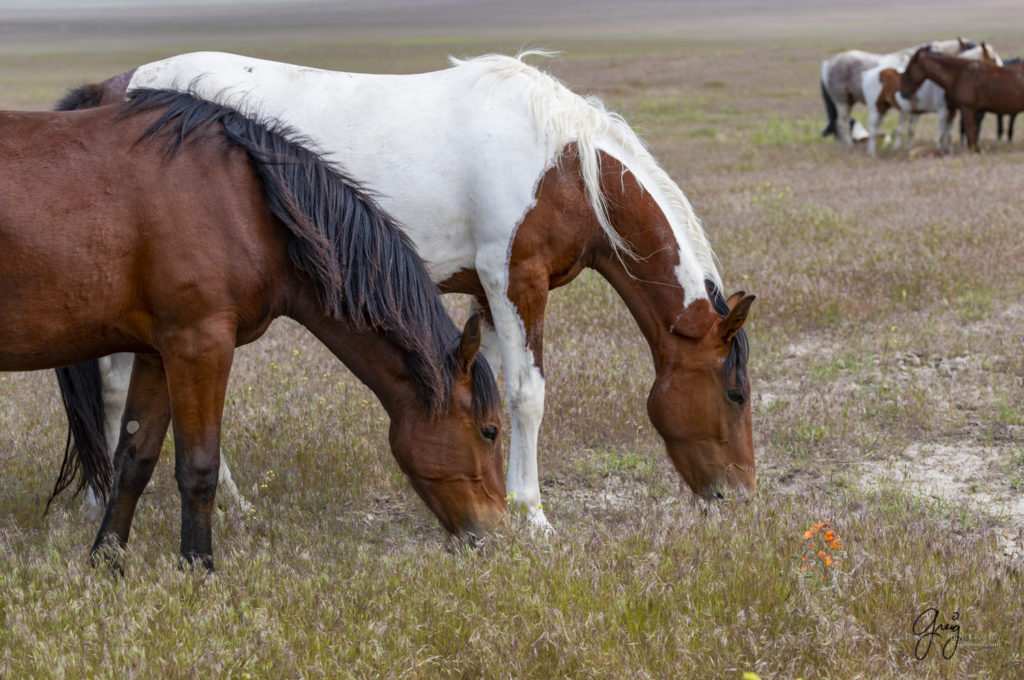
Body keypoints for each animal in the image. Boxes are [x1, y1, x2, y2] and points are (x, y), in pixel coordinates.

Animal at [1, 89, 507, 569]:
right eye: (490, 431)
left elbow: (133, 461)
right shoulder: (198, 346)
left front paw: (106, 565)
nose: (496, 534)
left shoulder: (156, 353)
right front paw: (198, 570)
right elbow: (199, 468)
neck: (247, 202)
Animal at [59, 53, 757, 532]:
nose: (742, 495)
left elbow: (493, 387)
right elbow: (528, 396)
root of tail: (113, 86)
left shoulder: (486, 293)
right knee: (121, 388)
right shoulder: (516, 281)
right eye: (737, 393)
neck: (562, 167)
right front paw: (533, 515)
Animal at [819, 39, 978, 154]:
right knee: (842, 123)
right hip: (842, 101)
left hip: (849, 101)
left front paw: (908, 147)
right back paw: (849, 146)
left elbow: (911, 129)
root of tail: (828, 64)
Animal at [864, 43, 999, 157]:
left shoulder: (952, 111)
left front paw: (947, 151)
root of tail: (869, 73)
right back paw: (872, 153)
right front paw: (938, 151)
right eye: (992, 59)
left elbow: (948, 134)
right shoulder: (943, 110)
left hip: (884, 107)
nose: (999, 70)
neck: (950, 78)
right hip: (876, 108)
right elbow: (940, 135)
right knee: (873, 128)